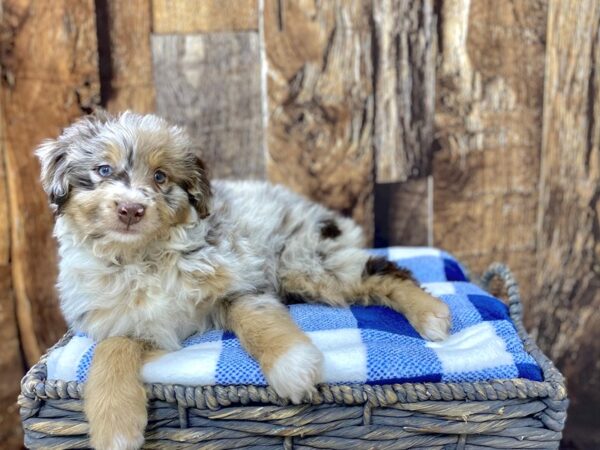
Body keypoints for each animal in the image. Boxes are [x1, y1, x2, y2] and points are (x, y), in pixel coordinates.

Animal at [36, 110, 450, 448]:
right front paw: (115, 430)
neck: (143, 256)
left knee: (385, 269)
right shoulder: (128, 323)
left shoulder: (239, 282)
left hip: (303, 260)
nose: (131, 209)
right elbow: (110, 353)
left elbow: (256, 321)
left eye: (160, 177)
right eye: (103, 170)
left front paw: (293, 367)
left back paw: (431, 315)